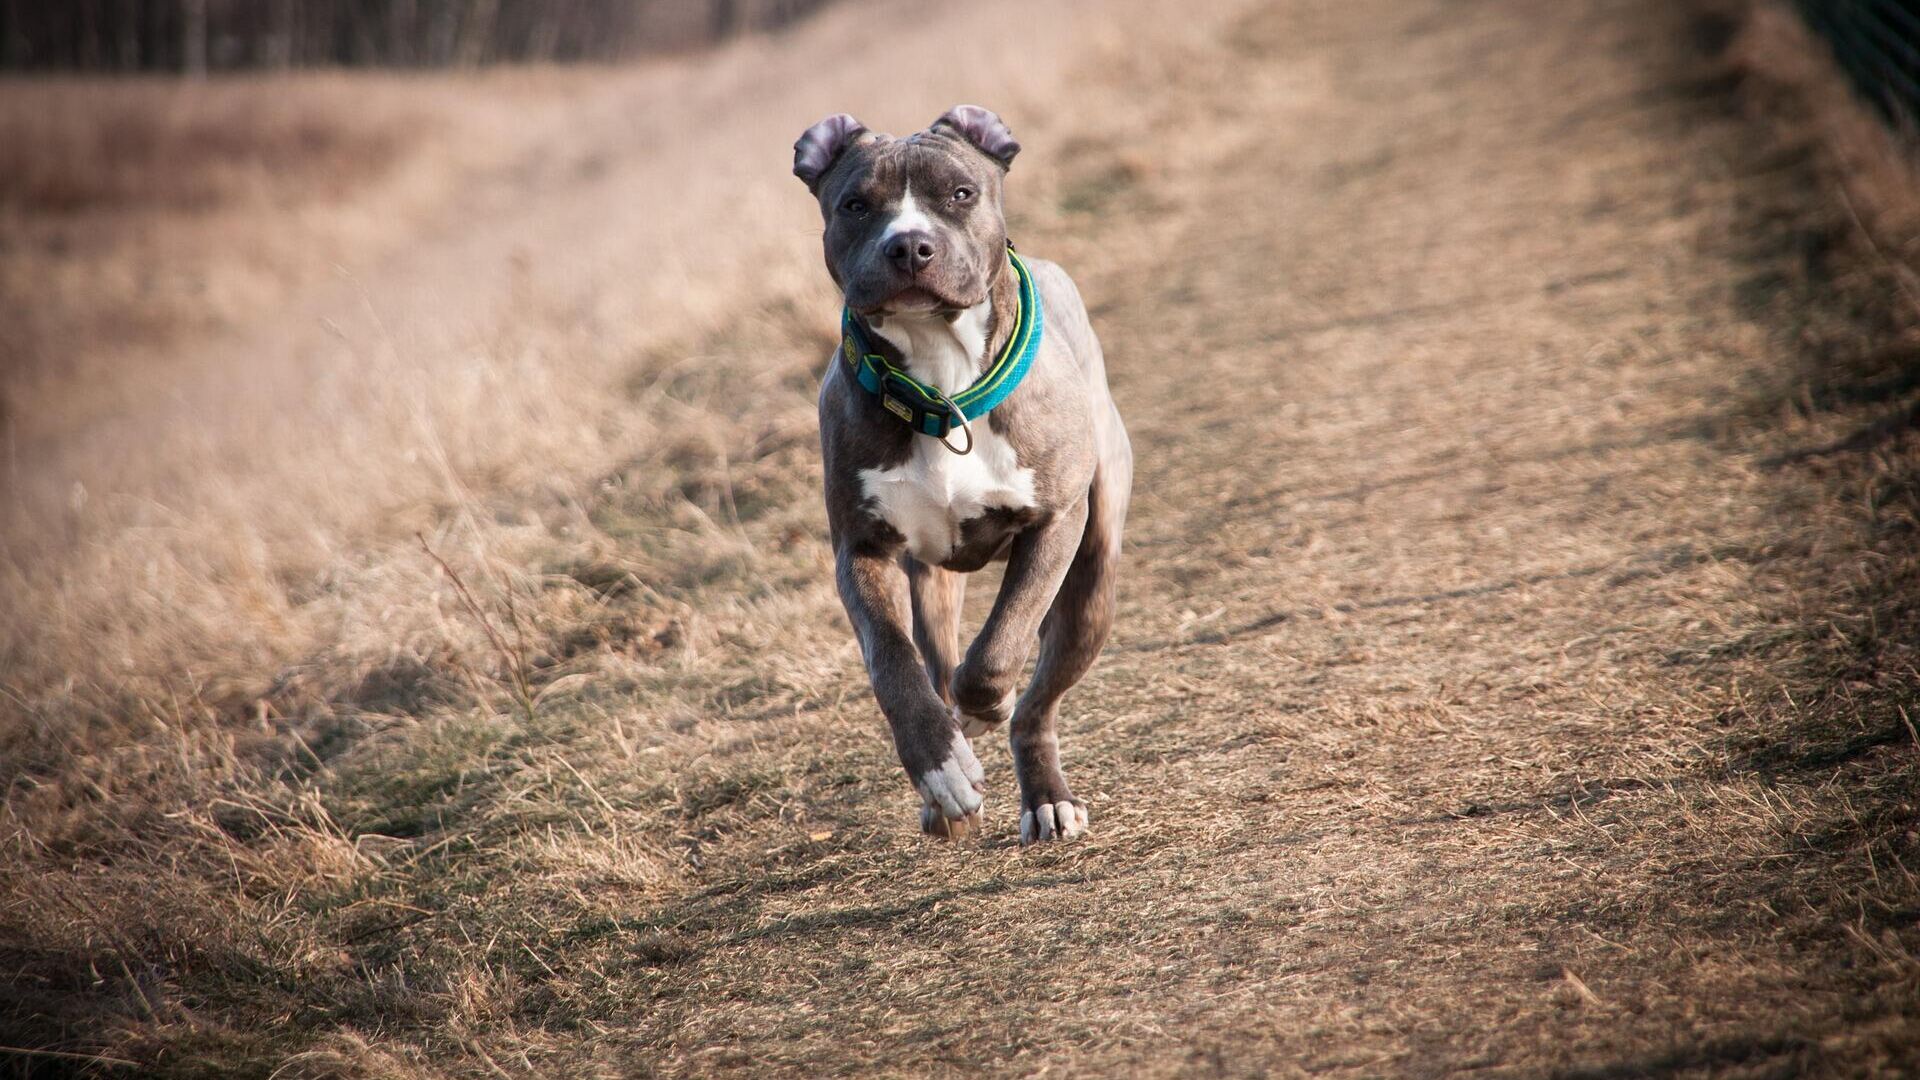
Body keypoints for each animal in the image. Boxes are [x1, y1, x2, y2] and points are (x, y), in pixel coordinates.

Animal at [791, 105, 1128, 841]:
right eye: (855, 205)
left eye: (960, 194)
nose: (910, 246)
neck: (940, 380)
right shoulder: (861, 551)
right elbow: (894, 665)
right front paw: (941, 767)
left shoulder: (1055, 524)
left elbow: (1002, 645)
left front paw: (981, 710)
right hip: (934, 581)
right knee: (938, 659)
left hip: (1092, 583)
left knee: (1036, 705)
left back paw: (1045, 797)